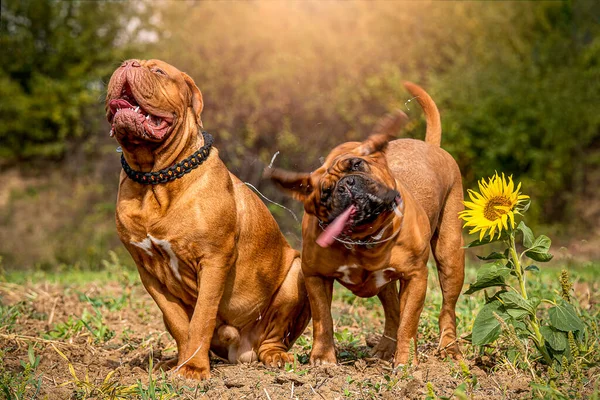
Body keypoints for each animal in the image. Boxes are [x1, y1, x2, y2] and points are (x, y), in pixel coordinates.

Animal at [105, 58, 310, 378]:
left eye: (158, 71)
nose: (129, 63)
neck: (154, 178)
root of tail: (242, 351)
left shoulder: (214, 260)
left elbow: (202, 317)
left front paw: (193, 369)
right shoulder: (148, 272)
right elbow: (179, 322)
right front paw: (184, 363)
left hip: (295, 276)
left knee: (275, 337)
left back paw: (276, 357)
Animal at [268, 83, 464, 368]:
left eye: (357, 164)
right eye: (324, 192)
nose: (346, 184)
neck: (363, 238)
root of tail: (430, 146)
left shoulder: (415, 277)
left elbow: (409, 322)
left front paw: (406, 362)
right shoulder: (315, 277)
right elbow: (323, 320)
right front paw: (323, 358)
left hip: (450, 258)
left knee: (446, 309)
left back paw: (448, 348)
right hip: (386, 283)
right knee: (393, 313)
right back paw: (384, 350)